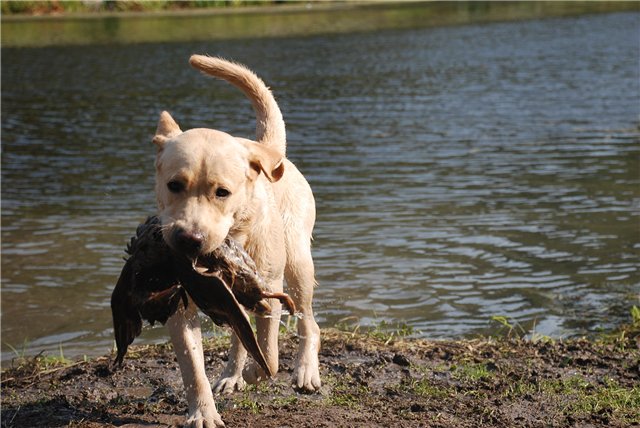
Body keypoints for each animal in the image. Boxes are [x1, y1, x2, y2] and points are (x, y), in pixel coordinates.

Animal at [153, 55, 322, 426]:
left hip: (299, 263)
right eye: (174, 185)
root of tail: (267, 150)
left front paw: (257, 372)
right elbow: (193, 368)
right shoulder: (181, 308)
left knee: (309, 321)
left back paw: (304, 370)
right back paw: (231, 374)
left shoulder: (270, 292)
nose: (189, 239)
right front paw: (202, 412)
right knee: (239, 335)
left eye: (222, 192)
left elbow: (269, 353)